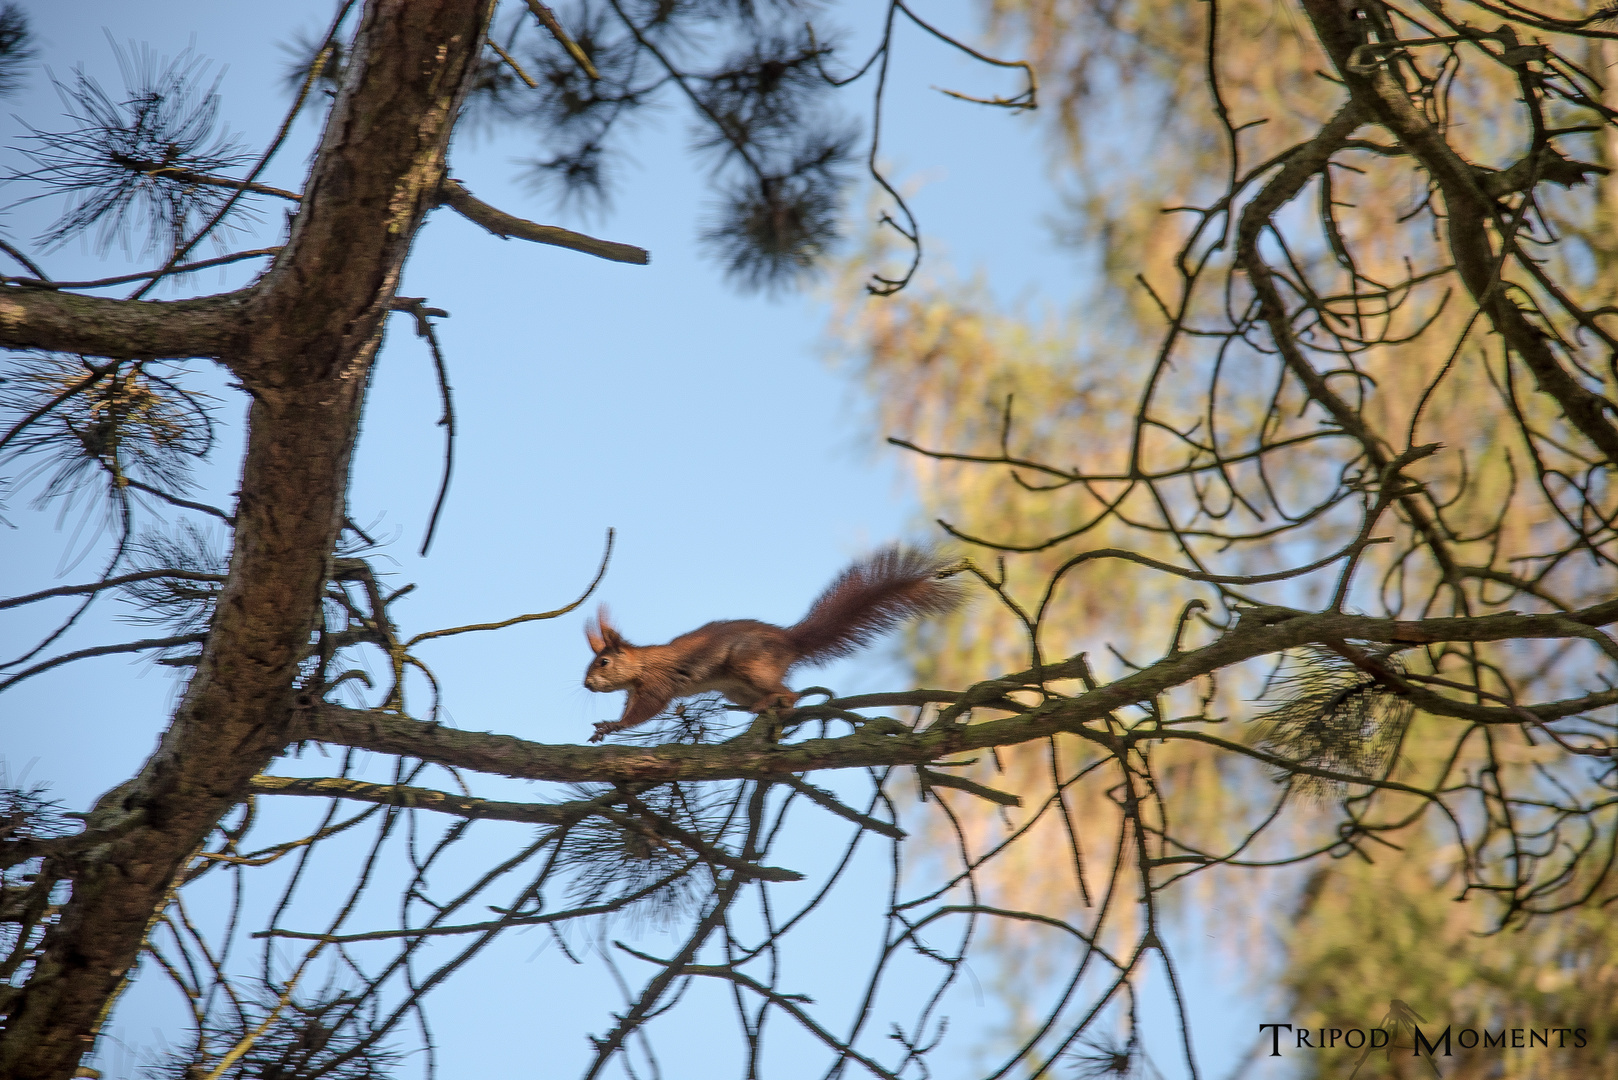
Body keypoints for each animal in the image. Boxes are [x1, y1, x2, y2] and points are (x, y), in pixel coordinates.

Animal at [582, 550, 957, 744]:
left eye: (602, 662)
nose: (586, 685)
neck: (641, 664)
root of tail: (790, 642)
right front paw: (607, 725)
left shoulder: (657, 684)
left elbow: (646, 710)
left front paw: (615, 726)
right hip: (735, 687)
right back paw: (761, 706)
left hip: (750, 663)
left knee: (788, 692)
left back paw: (781, 703)